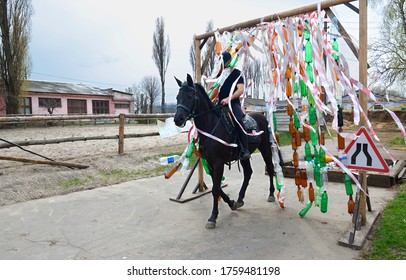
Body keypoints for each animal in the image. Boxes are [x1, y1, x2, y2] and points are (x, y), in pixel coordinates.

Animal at [174, 73, 280, 229]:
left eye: (190, 95)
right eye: (177, 97)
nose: (178, 119)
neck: (211, 125)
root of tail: (262, 116)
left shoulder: (218, 163)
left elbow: (215, 189)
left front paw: (213, 217)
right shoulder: (210, 163)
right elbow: (217, 187)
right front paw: (231, 203)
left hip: (265, 148)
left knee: (271, 169)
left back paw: (271, 195)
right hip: (244, 156)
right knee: (248, 173)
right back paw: (240, 198)